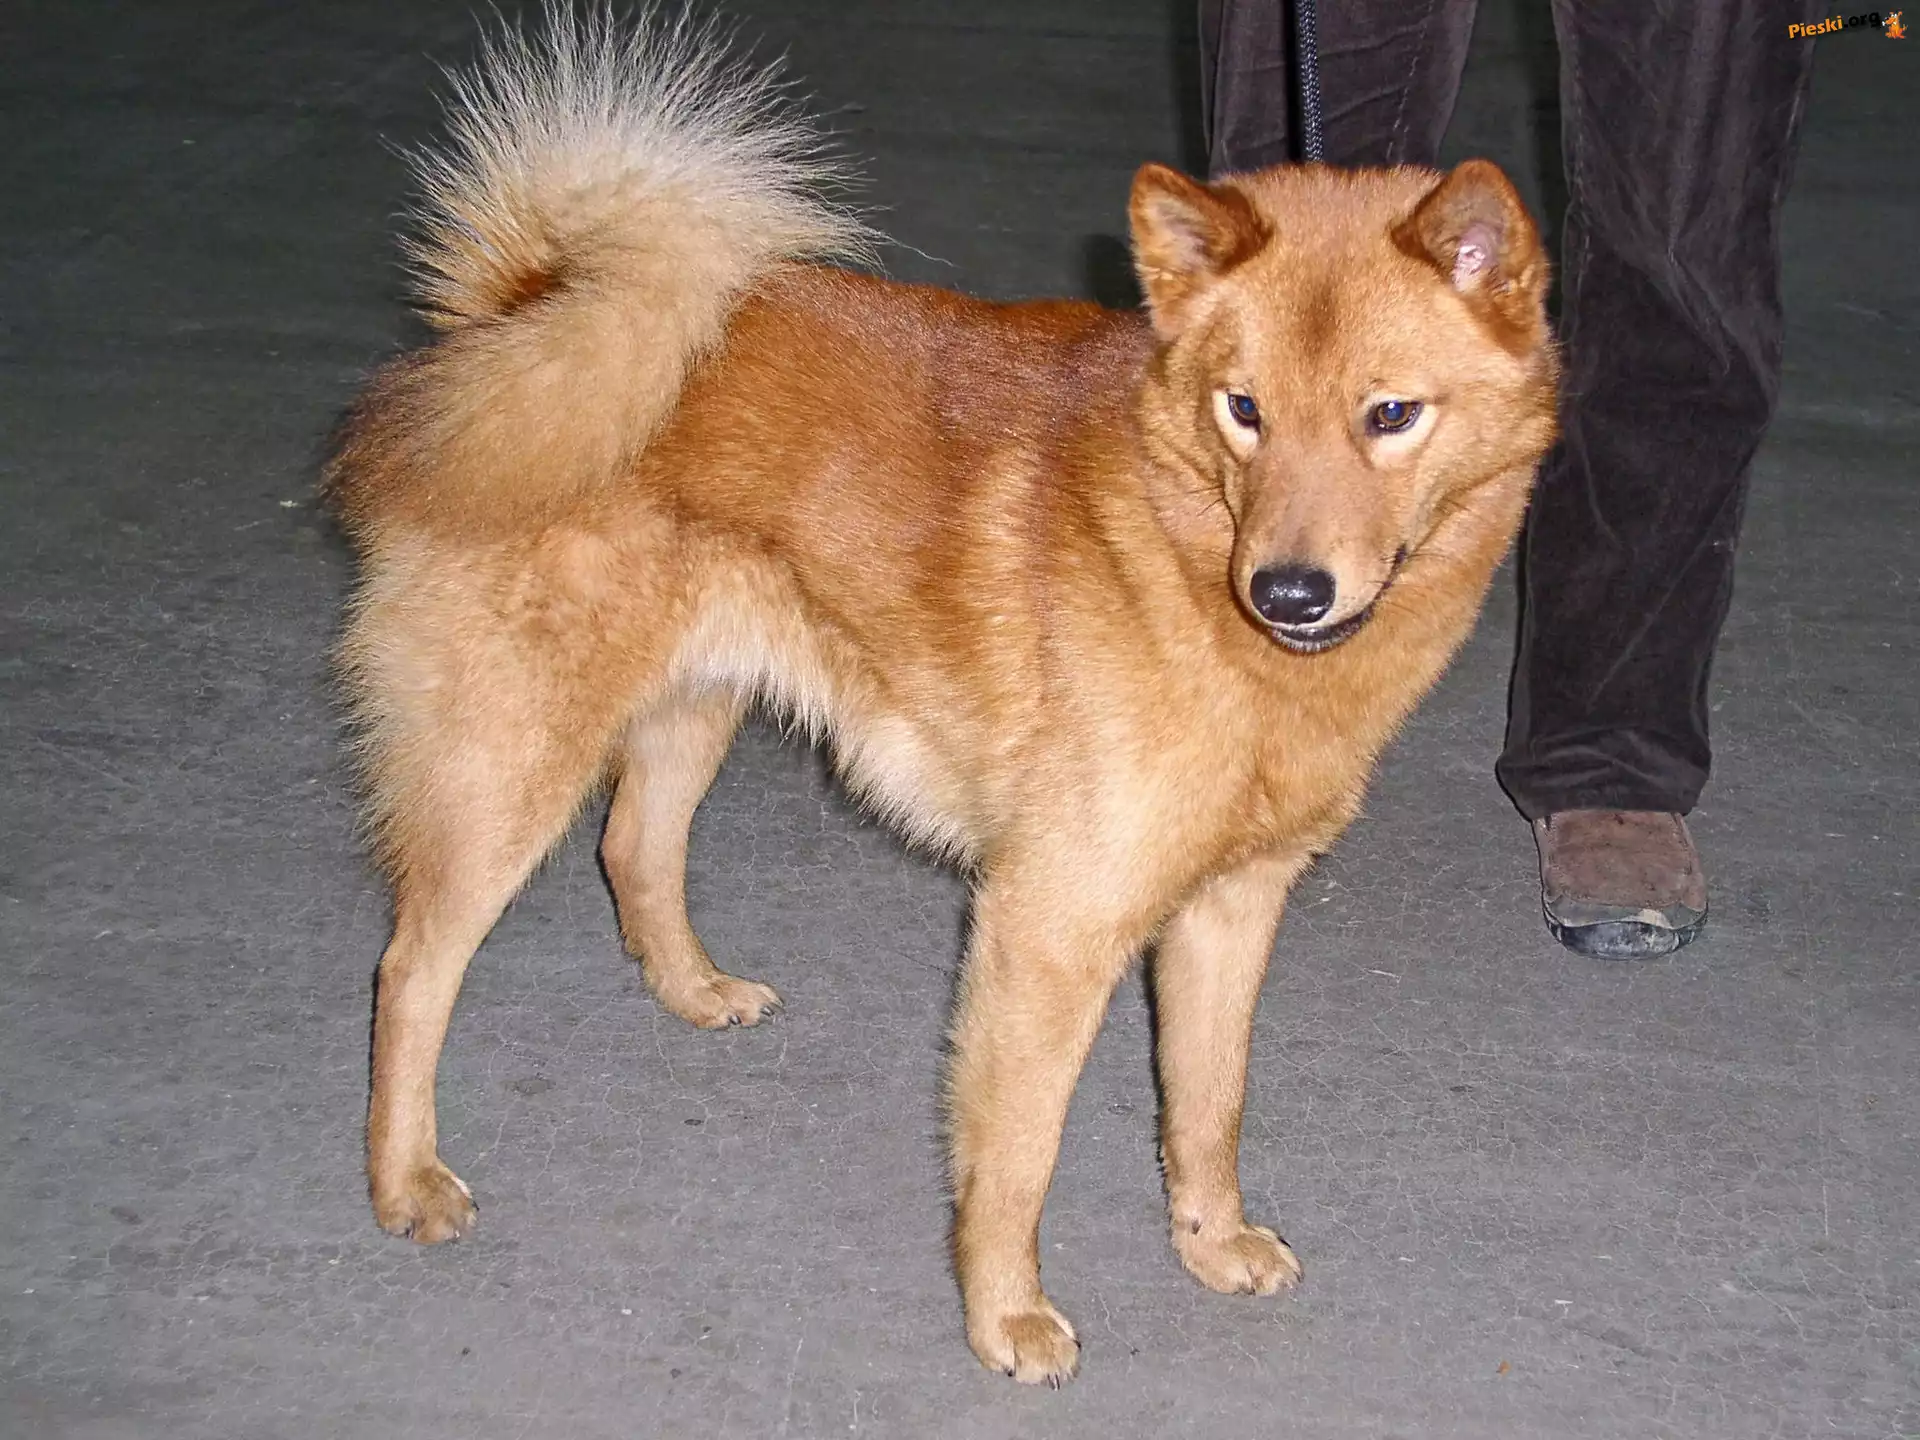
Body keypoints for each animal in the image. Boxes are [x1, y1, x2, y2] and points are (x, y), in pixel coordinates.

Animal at [324, 8, 1557, 1385]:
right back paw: (403, 1177)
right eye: (1243, 410)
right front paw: (1005, 1314)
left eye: (1391, 414)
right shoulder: (1047, 928)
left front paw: (1207, 1241)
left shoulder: (1229, 909)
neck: (1179, 554)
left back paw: (694, 992)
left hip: (696, 702)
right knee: (410, 972)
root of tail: (526, 302)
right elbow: (1018, 1157)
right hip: (508, 769)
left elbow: (1208, 1104)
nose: (1287, 591)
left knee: (633, 847)